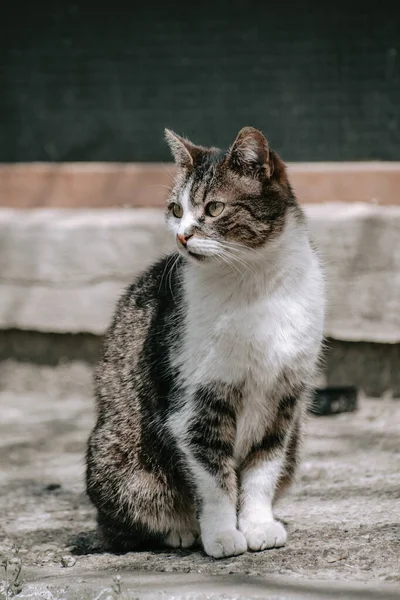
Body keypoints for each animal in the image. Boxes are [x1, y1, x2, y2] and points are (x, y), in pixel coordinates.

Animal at [85, 125, 324, 556]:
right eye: (176, 210)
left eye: (213, 209)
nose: (182, 237)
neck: (252, 283)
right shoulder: (196, 404)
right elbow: (214, 480)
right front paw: (223, 535)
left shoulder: (284, 402)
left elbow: (262, 471)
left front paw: (258, 526)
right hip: (118, 460)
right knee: (120, 525)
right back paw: (181, 532)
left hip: (297, 441)